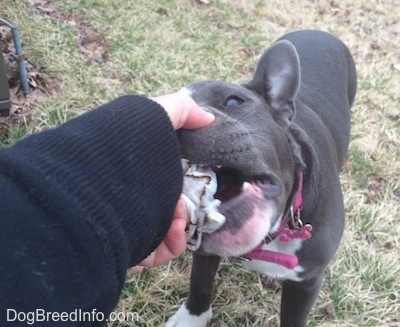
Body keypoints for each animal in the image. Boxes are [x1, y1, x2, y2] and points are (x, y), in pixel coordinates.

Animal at [166, 29, 356, 326]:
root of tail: (318, 31)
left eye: (233, 101)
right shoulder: (204, 253)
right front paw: (191, 318)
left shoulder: (307, 283)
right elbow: (200, 283)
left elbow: (293, 318)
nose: (176, 122)